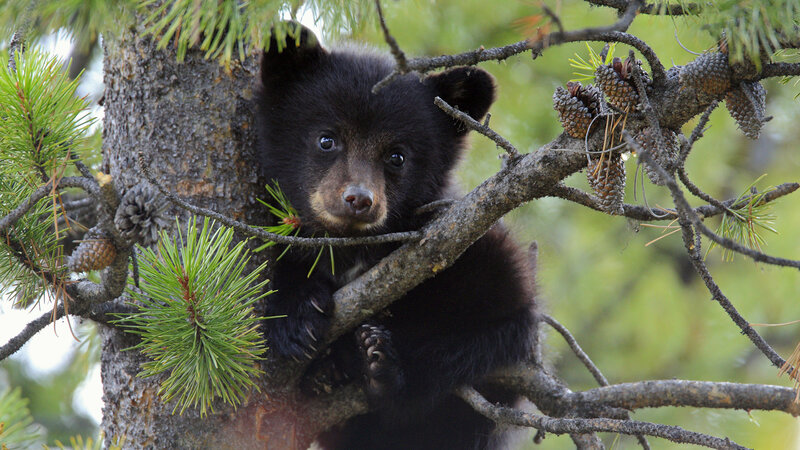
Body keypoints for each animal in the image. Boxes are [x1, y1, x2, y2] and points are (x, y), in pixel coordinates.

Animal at [255, 23, 538, 450]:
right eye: (326, 139)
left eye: (397, 156)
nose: (359, 199)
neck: (352, 250)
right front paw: (296, 315)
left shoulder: (478, 248)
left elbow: (500, 324)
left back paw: (380, 369)